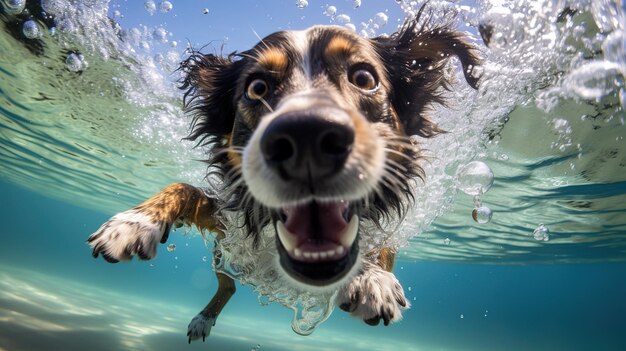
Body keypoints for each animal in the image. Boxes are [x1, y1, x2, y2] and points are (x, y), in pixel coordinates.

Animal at [86, 6, 478, 344]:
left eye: (364, 78)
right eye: (256, 88)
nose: (307, 137)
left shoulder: (387, 232)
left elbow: (379, 248)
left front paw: (374, 279)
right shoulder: (227, 222)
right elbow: (182, 188)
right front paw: (134, 222)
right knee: (227, 284)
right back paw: (203, 317)